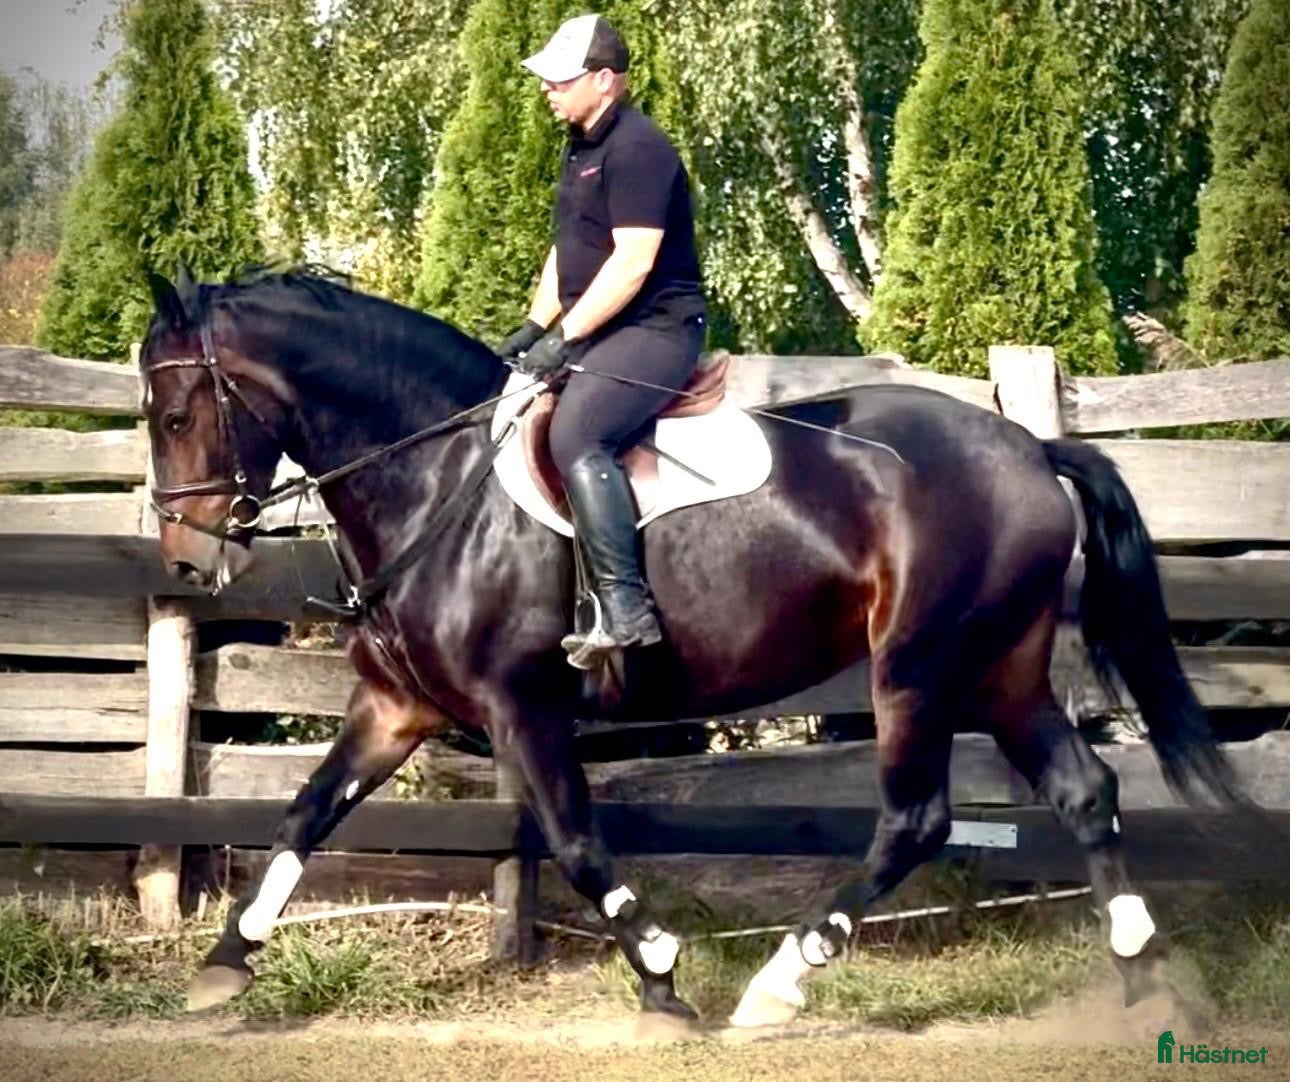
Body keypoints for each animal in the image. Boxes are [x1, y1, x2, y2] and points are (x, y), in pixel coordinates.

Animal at [139, 265, 1242, 1026]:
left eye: (181, 411)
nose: (189, 557)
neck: (438, 478)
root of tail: (1030, 448)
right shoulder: (393, 708)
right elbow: (306, 812)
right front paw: (225, 963)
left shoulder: (521, 706)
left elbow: (579, 843)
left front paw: (663, 977)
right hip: (999, 665)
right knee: (1083, 790)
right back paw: (1147, 978)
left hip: (918, 666)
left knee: (915, 819)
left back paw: (777, 986)